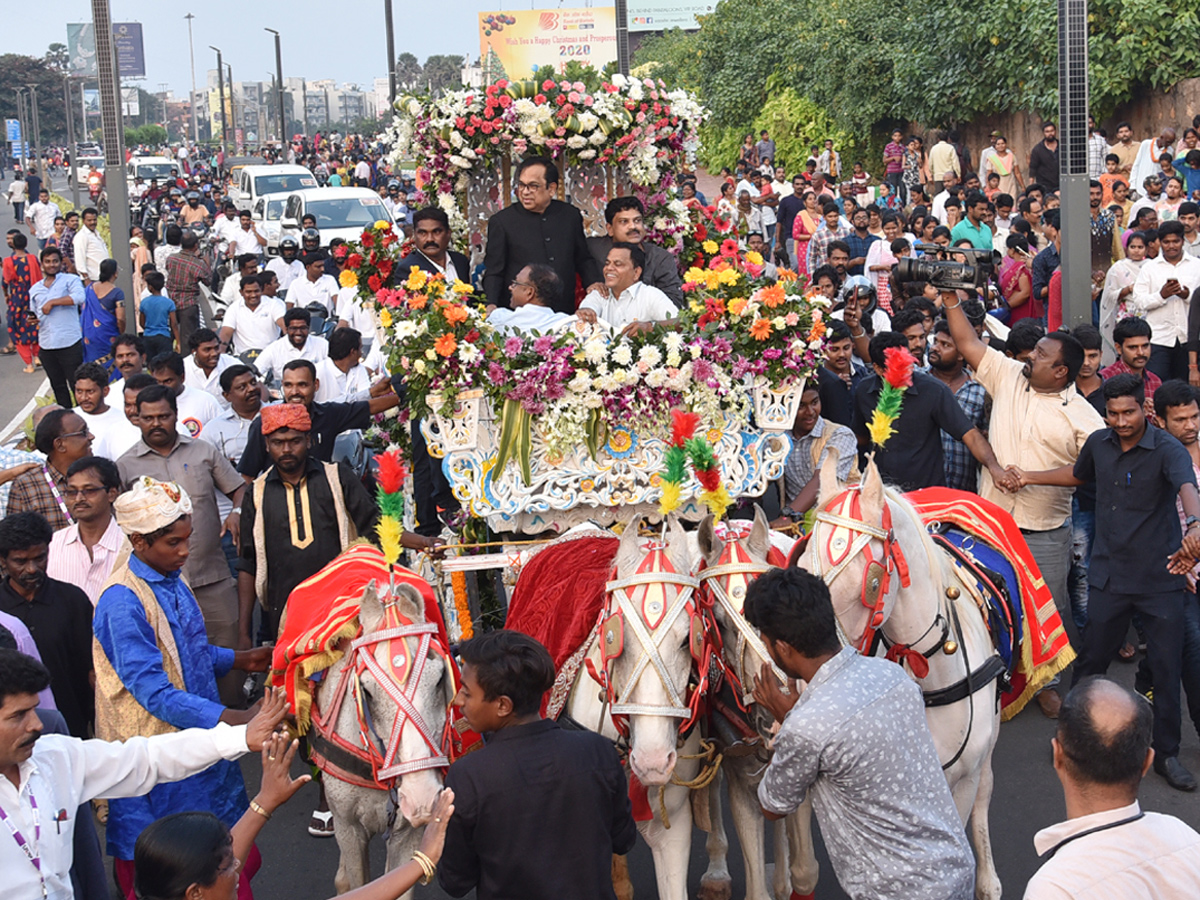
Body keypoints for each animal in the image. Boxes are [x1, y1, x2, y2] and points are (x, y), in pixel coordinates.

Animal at [312, 580, 456, 897]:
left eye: (440, 679)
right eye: (366, 691)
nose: (422, 798)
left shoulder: (407, 833)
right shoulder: (349, 828)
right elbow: (357, 884)